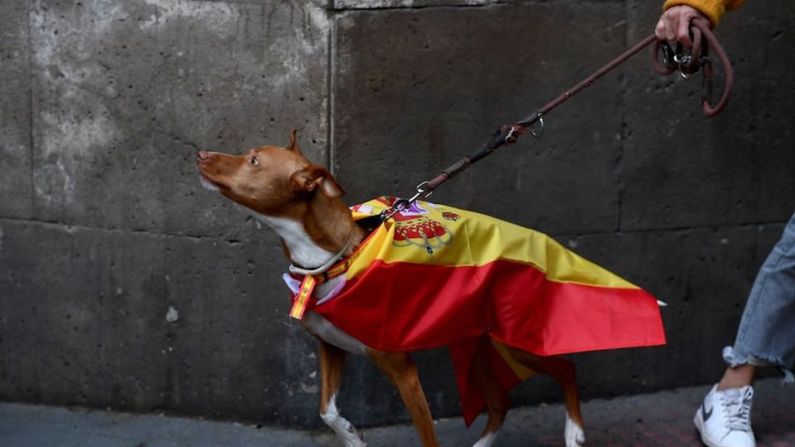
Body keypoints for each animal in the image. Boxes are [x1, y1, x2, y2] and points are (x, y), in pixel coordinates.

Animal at [197, 131, 588, 446]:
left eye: (253, 161)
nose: (201, 153)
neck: (337, 258)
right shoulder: (330, 346)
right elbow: (326, 410)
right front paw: (351, 437)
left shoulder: (403, 371)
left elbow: (428, 438)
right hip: (471, 340)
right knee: (499, 401)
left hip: (514, 341)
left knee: (565, 367)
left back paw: (574, 432)